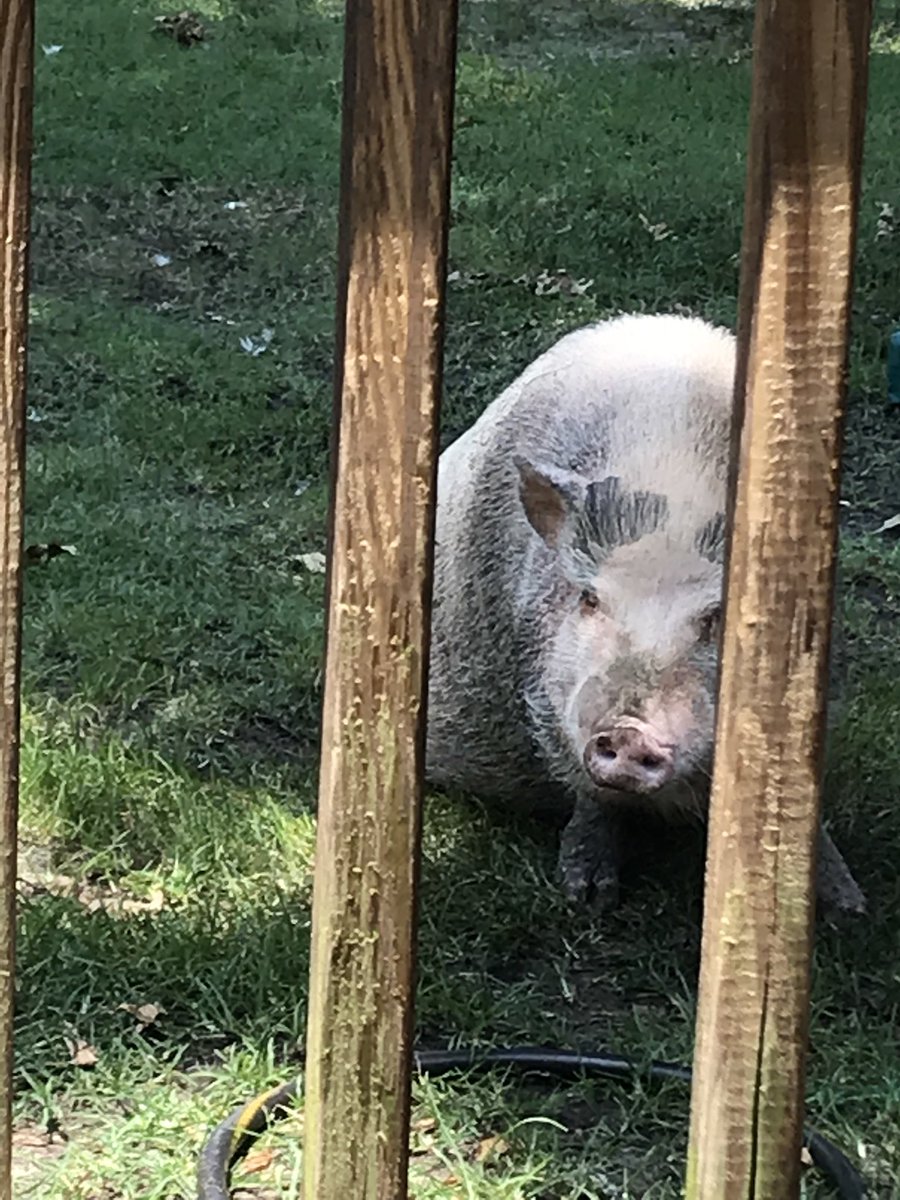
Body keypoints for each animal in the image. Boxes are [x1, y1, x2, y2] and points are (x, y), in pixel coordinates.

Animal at [425, 312, 865, 916]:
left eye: (714, 617)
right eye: (590, 599)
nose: (630, 731)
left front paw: (850, 909)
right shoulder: (543, 685)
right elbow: (590, 793)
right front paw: (587, 897)